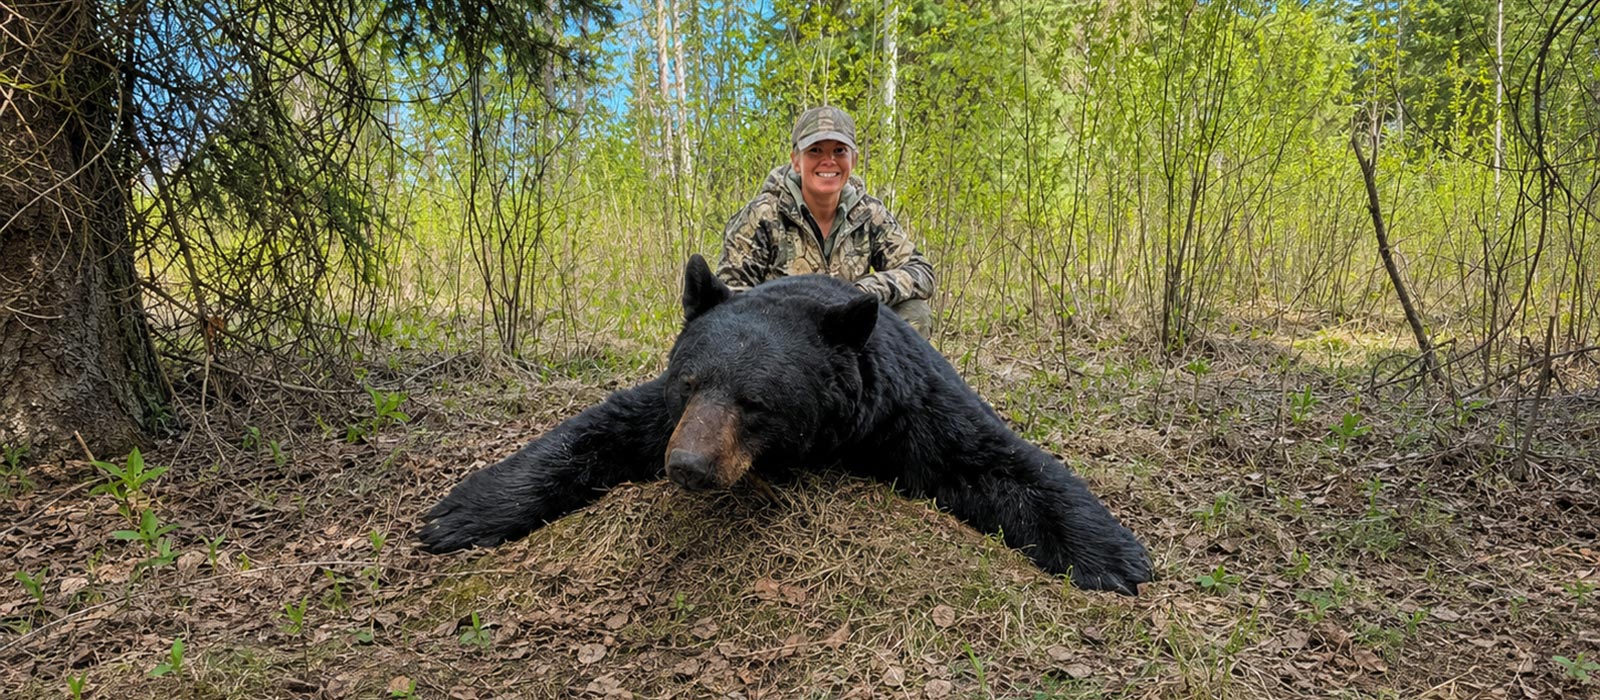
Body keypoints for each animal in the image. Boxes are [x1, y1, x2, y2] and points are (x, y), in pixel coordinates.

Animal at [419, 255, 1153, 595]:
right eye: (691, 381)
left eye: (756, 402)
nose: (685, 467)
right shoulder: (665, 414)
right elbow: (601, 429)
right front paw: (460, 512)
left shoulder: (909, 414)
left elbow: (994, 460)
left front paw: (1115, 556)